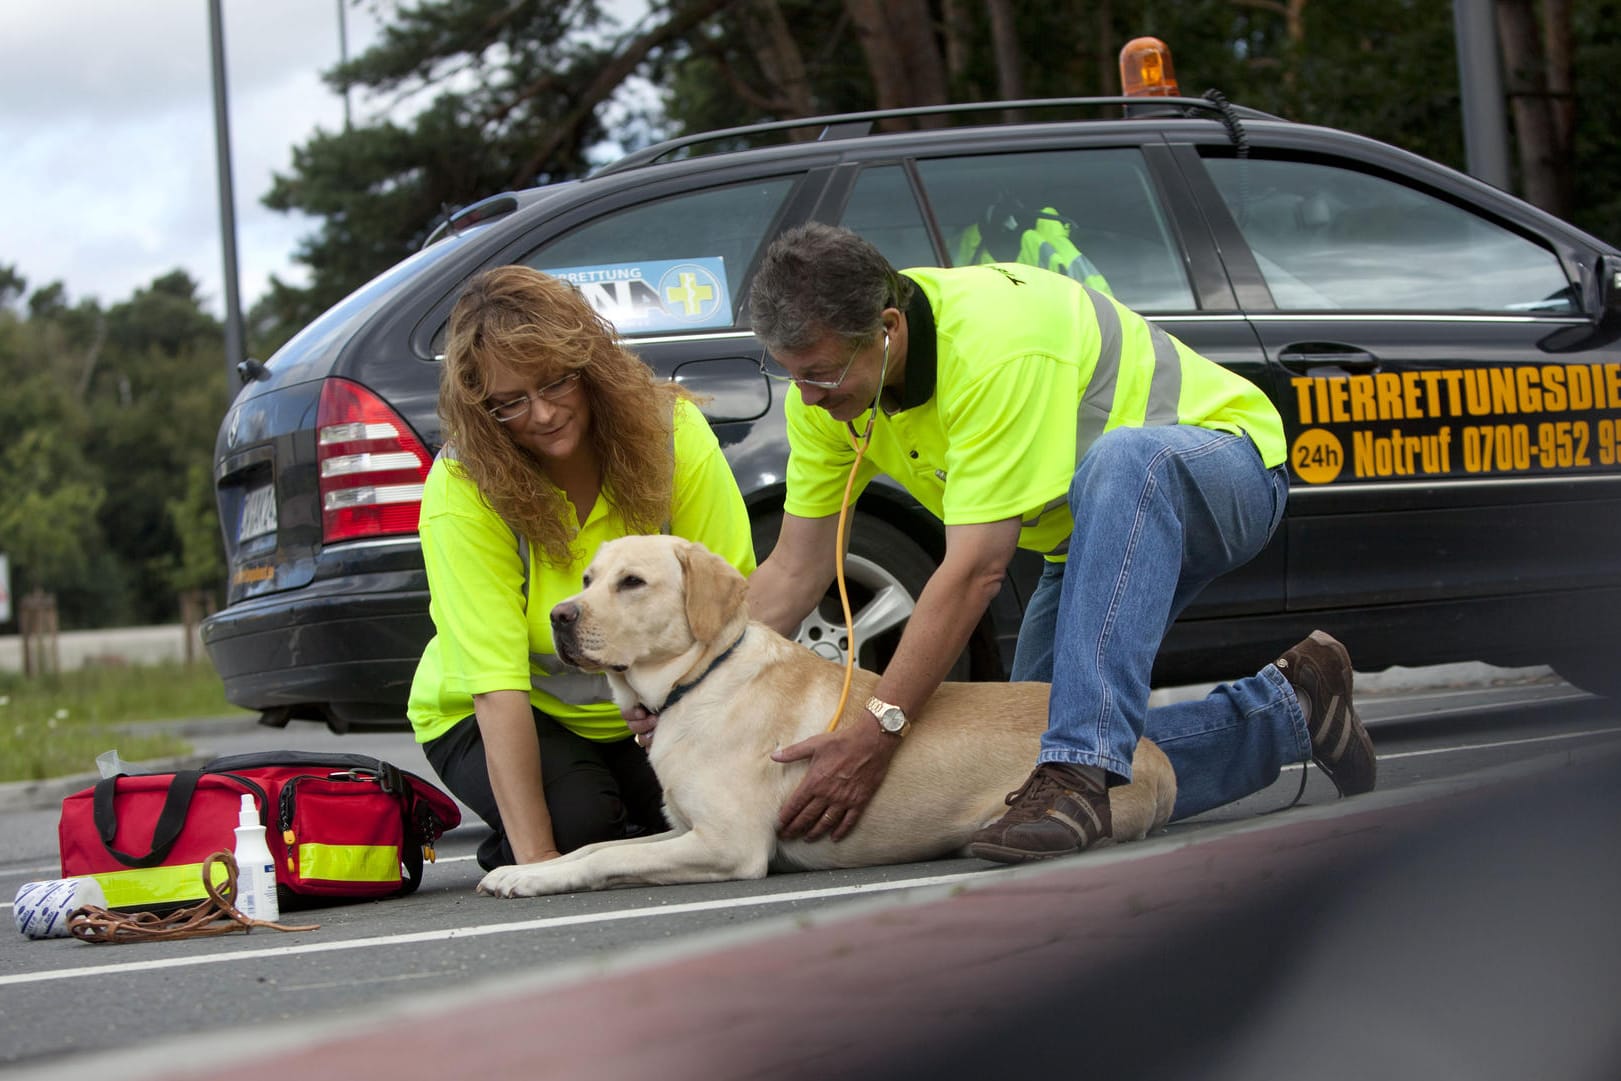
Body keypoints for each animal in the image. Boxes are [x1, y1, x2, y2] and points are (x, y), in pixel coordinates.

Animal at [473, 538, 1173, 901]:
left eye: (632, 583)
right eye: (588, 577)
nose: (559, 617)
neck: (698, 681)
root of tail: (1154, 752)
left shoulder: (730, 845)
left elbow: (603, 859)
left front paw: (530, 880)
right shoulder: (686, 829)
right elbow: (597, 845)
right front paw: (525, 868)